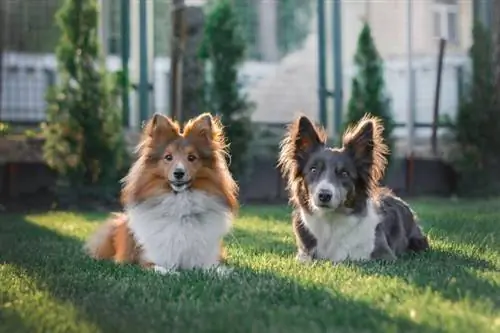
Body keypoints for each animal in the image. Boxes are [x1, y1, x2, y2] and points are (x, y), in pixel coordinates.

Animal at [84, 113, 238, 274]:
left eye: (191, 157)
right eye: (168, 157)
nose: (178, 173)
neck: (180, 206)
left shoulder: (204, 259)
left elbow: (213, 269)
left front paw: (223, 273)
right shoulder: (148, 260)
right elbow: (163, 269)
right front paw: (175, 274)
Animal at [278, 113, 430, 264]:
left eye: (344, 173)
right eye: (313, 170)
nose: (324, 195)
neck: (331, 222)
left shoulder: (384, 256)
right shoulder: (303, 254)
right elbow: (306, 258)